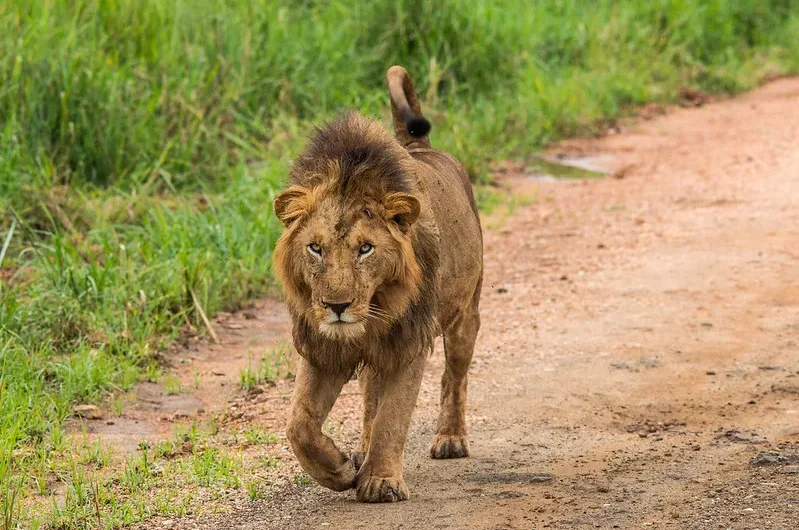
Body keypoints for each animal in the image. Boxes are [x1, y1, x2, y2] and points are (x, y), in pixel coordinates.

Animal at [272, 65, 484, 500]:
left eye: (366, 249)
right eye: (315, 248)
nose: (336, 306)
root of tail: (420, 146)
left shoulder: (408, 343)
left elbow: (393, 416)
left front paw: (381, 482)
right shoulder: (321, 347)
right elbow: (299, 424)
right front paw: (339, 471)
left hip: (465, 314)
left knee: (454, 376)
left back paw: (450, 439)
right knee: (370, 394)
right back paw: (361, 450)